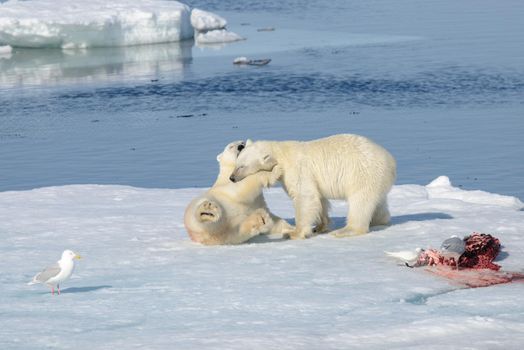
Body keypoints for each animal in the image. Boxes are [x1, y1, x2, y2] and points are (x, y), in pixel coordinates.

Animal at [229, 135, 398, 239]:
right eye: (236, 164)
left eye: (242, 166)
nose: (232, 178)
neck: (281, 154)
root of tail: (391, 161)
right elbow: (319, 198)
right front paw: (320, 226)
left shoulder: (296, 169)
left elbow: (304, 196)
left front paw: (294, 233)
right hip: (376, 179)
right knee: (377, 202)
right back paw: (379, 220)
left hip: (362, 173)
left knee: (360, 201)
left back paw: (346, 230)